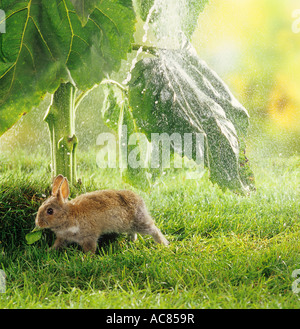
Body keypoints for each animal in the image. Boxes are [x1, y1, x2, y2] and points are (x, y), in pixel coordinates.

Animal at [35, 174, 169, 254]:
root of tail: (139, 199)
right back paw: (131, 241)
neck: (68, 215)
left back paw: (163, 244)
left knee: (153, 229)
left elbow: (90, 248)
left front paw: (86, 259)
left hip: (139, 221)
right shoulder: (63, 238)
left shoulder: (89, 236)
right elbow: (58, 244)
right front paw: (48, 250)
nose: (38, 223)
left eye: (50, 211)